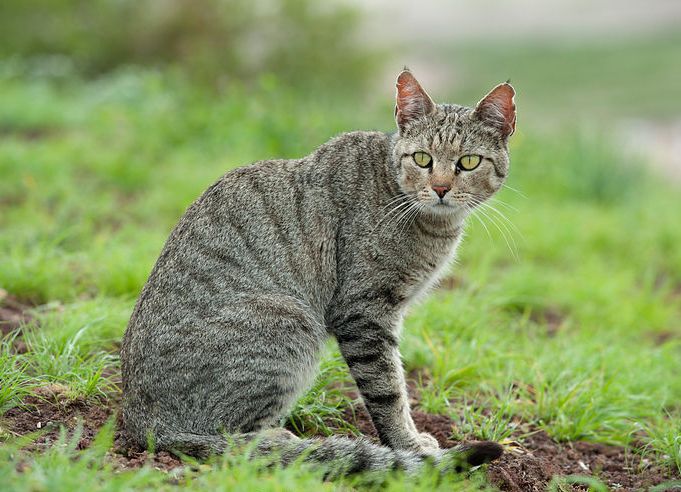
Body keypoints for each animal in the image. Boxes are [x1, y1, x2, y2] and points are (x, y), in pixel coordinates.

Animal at [122, 70, 516, 476]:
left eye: (468, 162)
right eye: (423, 158)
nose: (440, 188)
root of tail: (143, 422)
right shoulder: (364, 313)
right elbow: (388, 391)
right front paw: (408, 445)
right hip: (290, 321)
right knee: (234, 442)